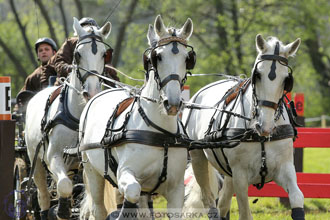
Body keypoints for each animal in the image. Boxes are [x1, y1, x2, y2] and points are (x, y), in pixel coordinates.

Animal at [24, 17, 111, 220]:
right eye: (77, 54)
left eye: (104, 54)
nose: (91, 92)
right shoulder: (53, 156)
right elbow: (64, 186)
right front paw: (62, 209)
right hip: (36, 161)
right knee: (43, 195)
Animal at [78, 14, 193, 219]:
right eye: (157, 57)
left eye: (187, 58)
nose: (172, 103)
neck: (159, 133)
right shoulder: (126, 173)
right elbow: (131, 191)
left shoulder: (176, 190)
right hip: (92, 171)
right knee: (99, 208)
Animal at [183, 34, 304, 220]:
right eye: (258, 75)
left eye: (286, 80)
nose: (265, 126)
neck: (260, 136)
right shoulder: (240, 175)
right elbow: (245, 213)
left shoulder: (284, 168)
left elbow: (297, 197)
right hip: (198, 158)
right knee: (209, 200)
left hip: (228, 172)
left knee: (223, 203)